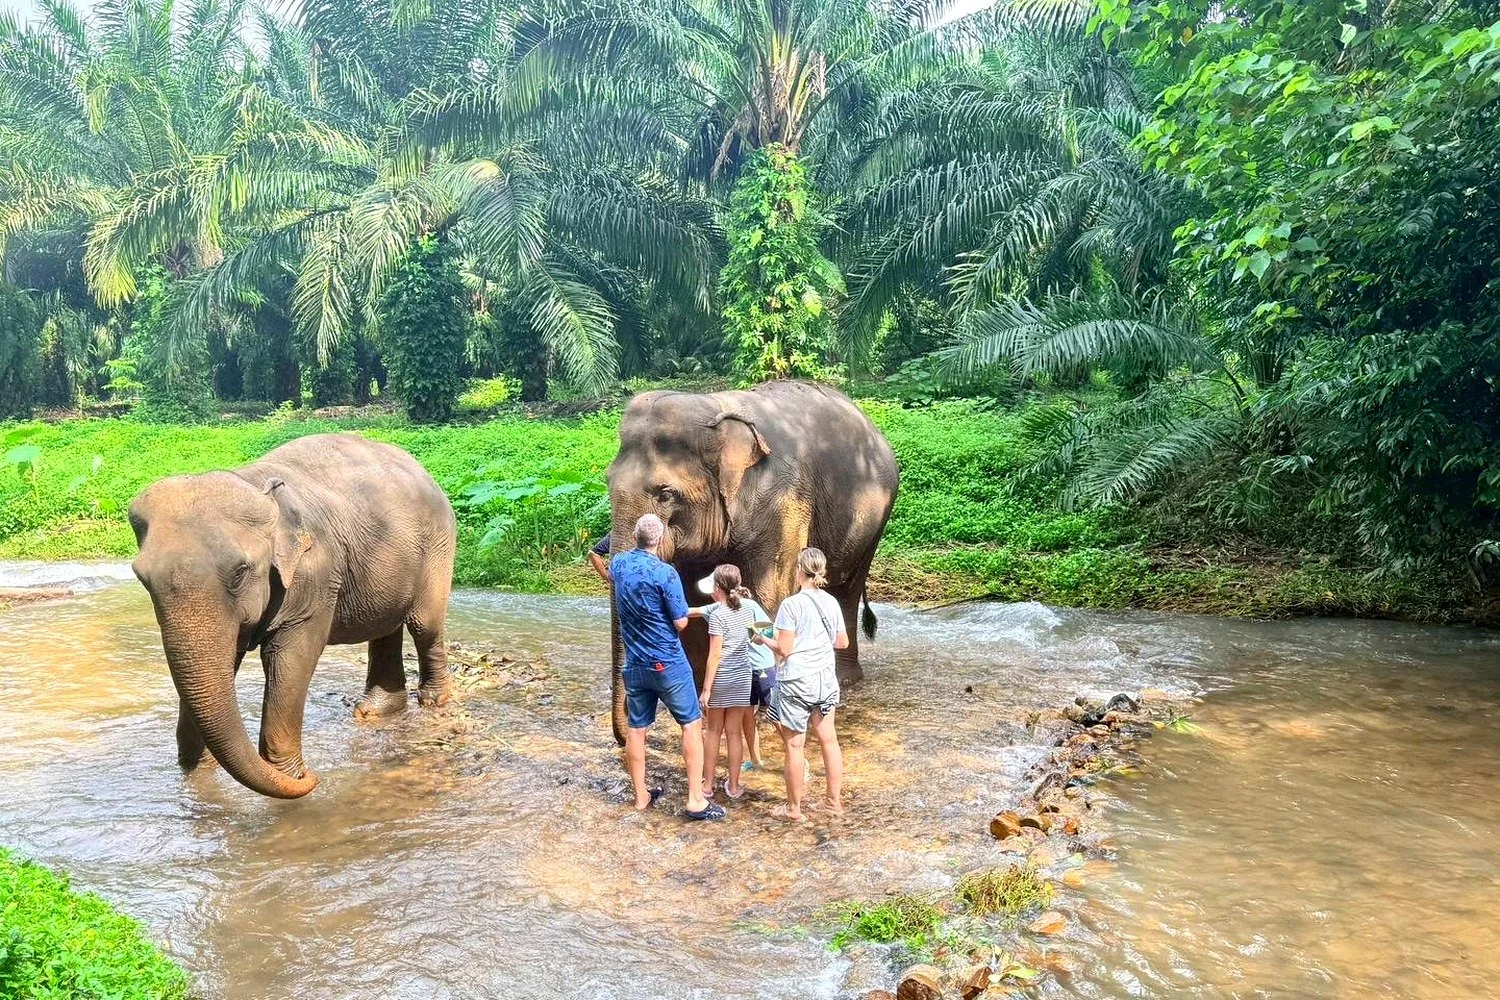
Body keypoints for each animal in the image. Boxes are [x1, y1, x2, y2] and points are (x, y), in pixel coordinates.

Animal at [129, 433, 456, 799]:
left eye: (240, 572)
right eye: (141, 578)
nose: (312, 777)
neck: (253, 482)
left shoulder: (316, 573)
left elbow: (289, 656)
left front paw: (291, 776)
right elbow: (226, 660)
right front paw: (200, 774)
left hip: (439, 544)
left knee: (423, 624)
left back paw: (434, 700)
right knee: (384, 626)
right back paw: (376, 712)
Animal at [605, 380, 899, 744]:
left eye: (665, 494)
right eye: (607, 482)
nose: (626, 735)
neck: (715, 409)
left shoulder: (785, 502)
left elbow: (769, 593)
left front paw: (758, 705)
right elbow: (693, 601)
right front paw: (708, 702)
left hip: (875, 518)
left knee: (846, 589)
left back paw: (843, 678)